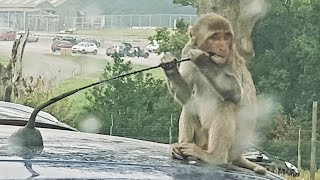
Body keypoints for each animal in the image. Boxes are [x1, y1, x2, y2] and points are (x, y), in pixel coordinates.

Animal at [160, 13, 268, 174]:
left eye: (226, 37)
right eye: (215, 37)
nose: (222, 47)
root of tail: (239, 154)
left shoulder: (231, 58)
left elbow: (235, 92)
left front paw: (203, 59)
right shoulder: (187, 49)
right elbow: (186, 95)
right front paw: (170, 67)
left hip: (233, 148)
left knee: (227, 104)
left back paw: (214, 156)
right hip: (202, 138)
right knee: (189, 104)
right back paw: (180, 148)